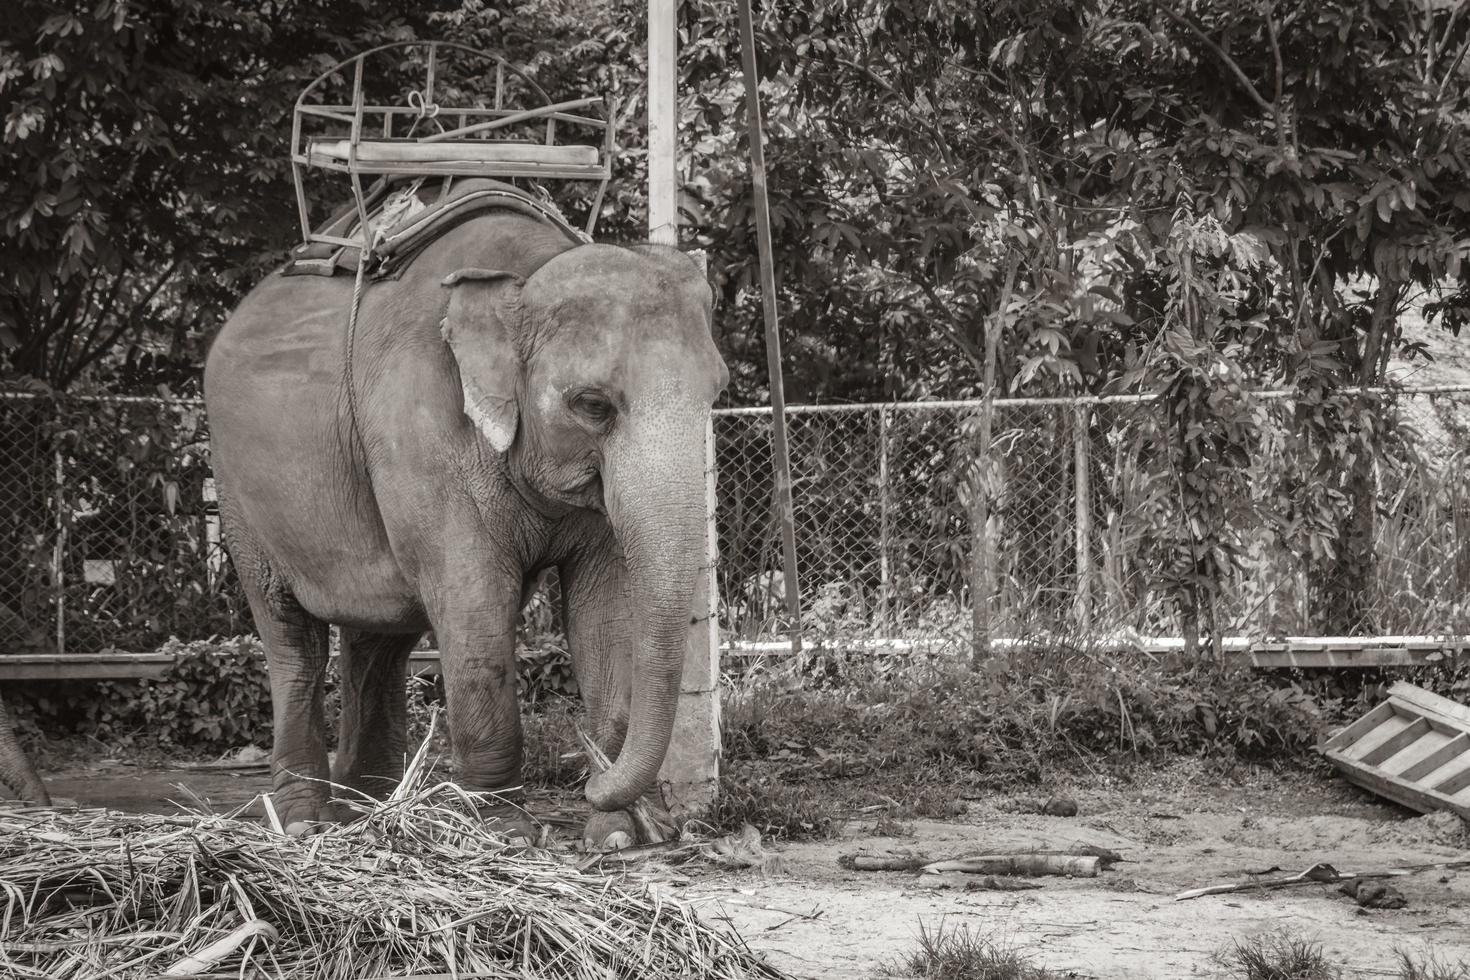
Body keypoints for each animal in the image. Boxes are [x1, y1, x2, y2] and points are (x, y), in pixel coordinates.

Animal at [207, 179, 729, 846]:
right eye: (592, 405)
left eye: (716, 394)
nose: (587, 773)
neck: (521, 276)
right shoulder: (421, 431)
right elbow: (474, 602)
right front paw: (503, 831)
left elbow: (604, 610)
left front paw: (614, 834)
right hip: (238, 492)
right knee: (291, 638)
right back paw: (302, 821)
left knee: (379, 636)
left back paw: (365, 810)